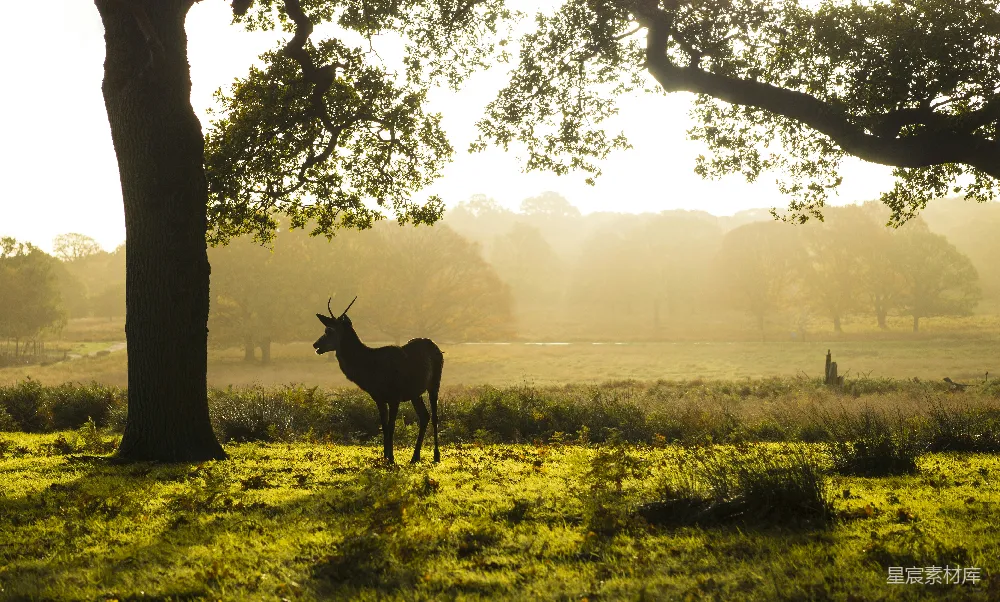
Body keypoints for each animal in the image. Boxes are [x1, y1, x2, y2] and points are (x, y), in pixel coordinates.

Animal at [313, 296, 444, 464]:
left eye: (329, 330)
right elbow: (384, 425)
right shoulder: (379, 397)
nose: (316, 344)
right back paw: (415, 457)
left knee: (434, 416)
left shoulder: (395, 395)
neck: (371, 370)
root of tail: (436, 347)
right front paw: (385, 456)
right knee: (424, 416)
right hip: (415, 393)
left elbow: (392, 425)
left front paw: (392, 459)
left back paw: (436, 455)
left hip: (435, 382)